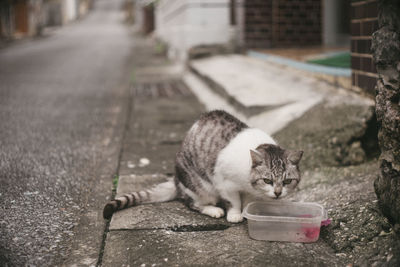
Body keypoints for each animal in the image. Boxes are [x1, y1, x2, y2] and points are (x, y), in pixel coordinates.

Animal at [103, 110, 304, 223]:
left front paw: (249, 210)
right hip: (201, 186)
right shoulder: (224, 182)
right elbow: (234, 201)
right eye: (267, 180)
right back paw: (214, 210)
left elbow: (247, 201)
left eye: (287, 181)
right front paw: (235, 214)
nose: (277, 193)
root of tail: (176, 181)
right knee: (192, 203)